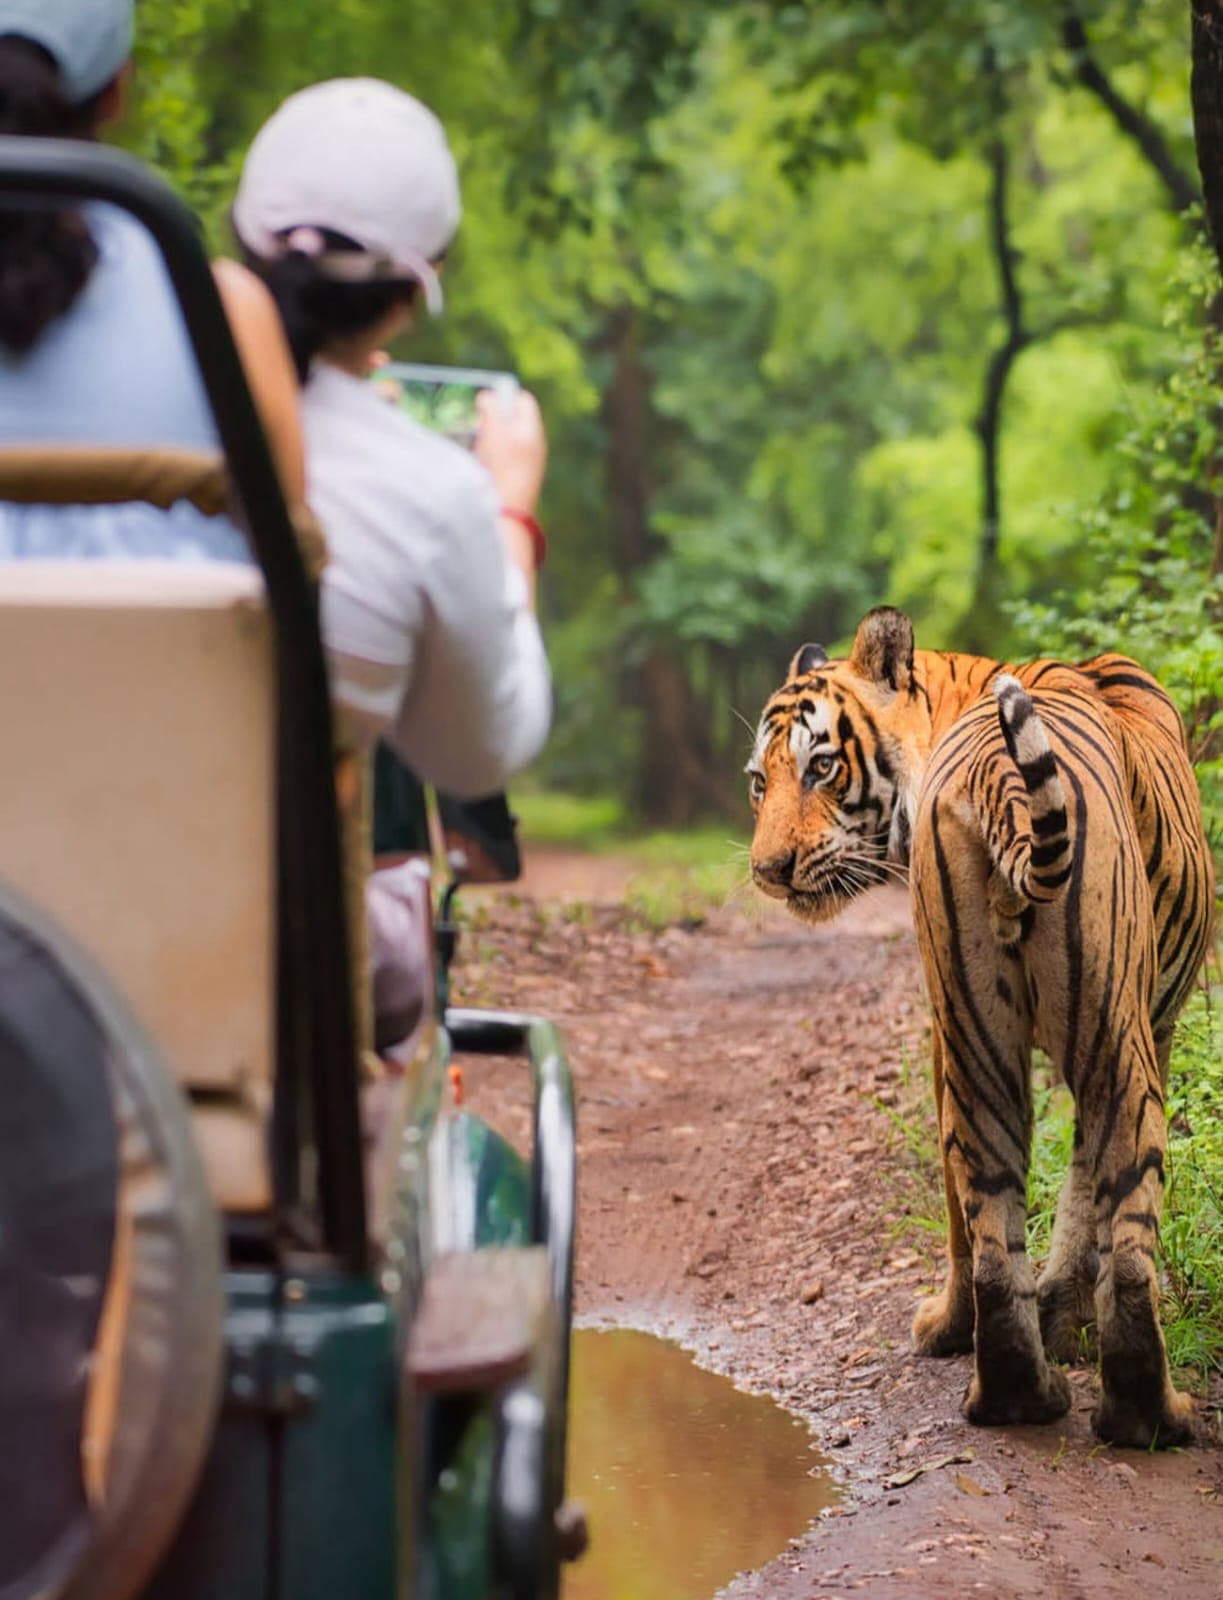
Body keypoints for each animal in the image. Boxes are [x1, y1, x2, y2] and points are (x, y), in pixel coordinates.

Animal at [747, 606, 1215, 1447]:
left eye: (820, 769)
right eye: (758, 782)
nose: (768, 873)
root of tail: (996, 770)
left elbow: (1027, 1189)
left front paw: (1039, 1321)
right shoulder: (1152, 1025)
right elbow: (1087, 1190)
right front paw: (1066, 1317)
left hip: (978, 1036)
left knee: (990, 1218)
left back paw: (1013, 1392)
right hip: (1112, 1044)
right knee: (1127, 1237)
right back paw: (1143, 1415)